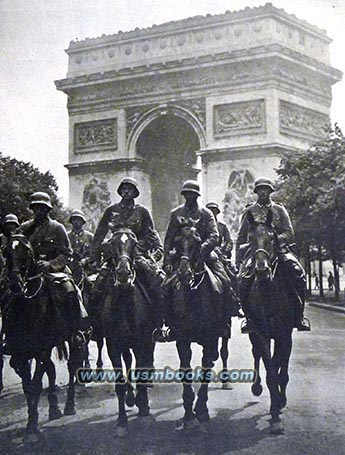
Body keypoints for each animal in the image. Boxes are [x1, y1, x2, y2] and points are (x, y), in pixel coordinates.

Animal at [0, 237, 85, 444]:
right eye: (6, 252)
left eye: (27, 252)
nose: (15, 284)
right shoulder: (20, 352)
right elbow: (28, 386)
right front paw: (33, 420)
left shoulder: (41, 349)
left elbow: (36, 384)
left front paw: (32, 427)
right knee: (51, 368)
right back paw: (54, 407)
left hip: (72, 337)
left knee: (72, 365)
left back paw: (69, 405)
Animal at [94, 230, 155, 436]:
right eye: (111, 245)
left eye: (134, 244)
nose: (123, 274)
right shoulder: (113, 345)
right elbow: (120, 381)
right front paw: (121, 422)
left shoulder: (141, 341)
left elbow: (141, 371)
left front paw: (143, 406)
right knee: (128, 360)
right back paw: (130, 397)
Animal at [163, 219, 230, 430]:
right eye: (177, 243)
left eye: (197, 242)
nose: (184, 273)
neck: (193, 296)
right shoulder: (182, 339)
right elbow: (186, 370)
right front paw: (188, 415)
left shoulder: (210, 339)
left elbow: (207, 367)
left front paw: (201, 409)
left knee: (222, 351)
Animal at [238, 210, 294, 434]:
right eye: (251, 239)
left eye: (271, 238)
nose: (261, 270)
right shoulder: (261, 332)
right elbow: (270, 368)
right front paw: (275, 411)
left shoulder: (284, 333)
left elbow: (280, 366)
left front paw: (280, 400)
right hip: (253, 331)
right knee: (257, 355)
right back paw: (257, 386)